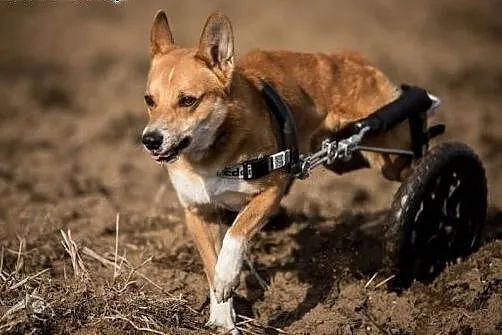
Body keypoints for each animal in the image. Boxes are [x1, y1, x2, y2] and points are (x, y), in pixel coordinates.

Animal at [140, 9, 416, 334]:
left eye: (187, 100)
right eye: (149, 100)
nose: (150, 140)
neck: (211, 157)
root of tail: (351, 58)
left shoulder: (270, 191)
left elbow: (236, 233)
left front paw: (227, 276)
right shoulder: (197, 212)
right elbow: (211, 264)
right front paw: (222, 318)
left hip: (388, 151)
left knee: (419, 160)